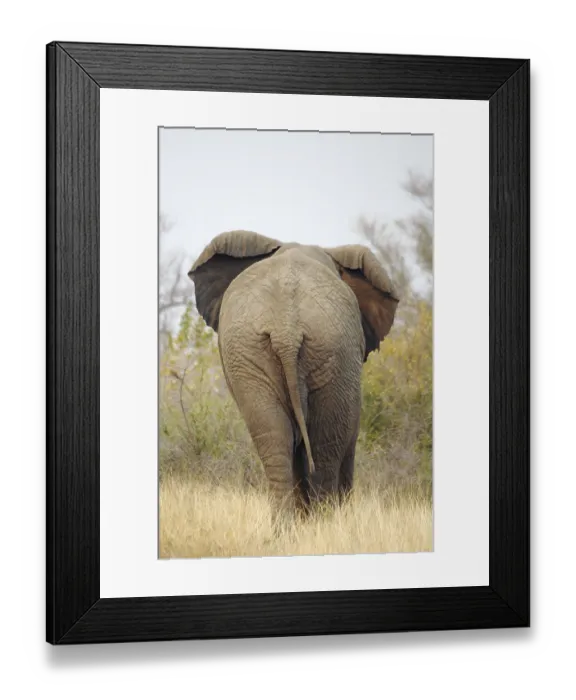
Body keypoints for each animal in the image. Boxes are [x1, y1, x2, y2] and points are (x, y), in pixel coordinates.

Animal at [188, 230, 399, 516]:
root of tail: (286, 329)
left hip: (254, 353)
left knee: (276, 436)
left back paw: (288, 523)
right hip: (329, 351)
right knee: (324, 442)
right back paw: (323, 520)